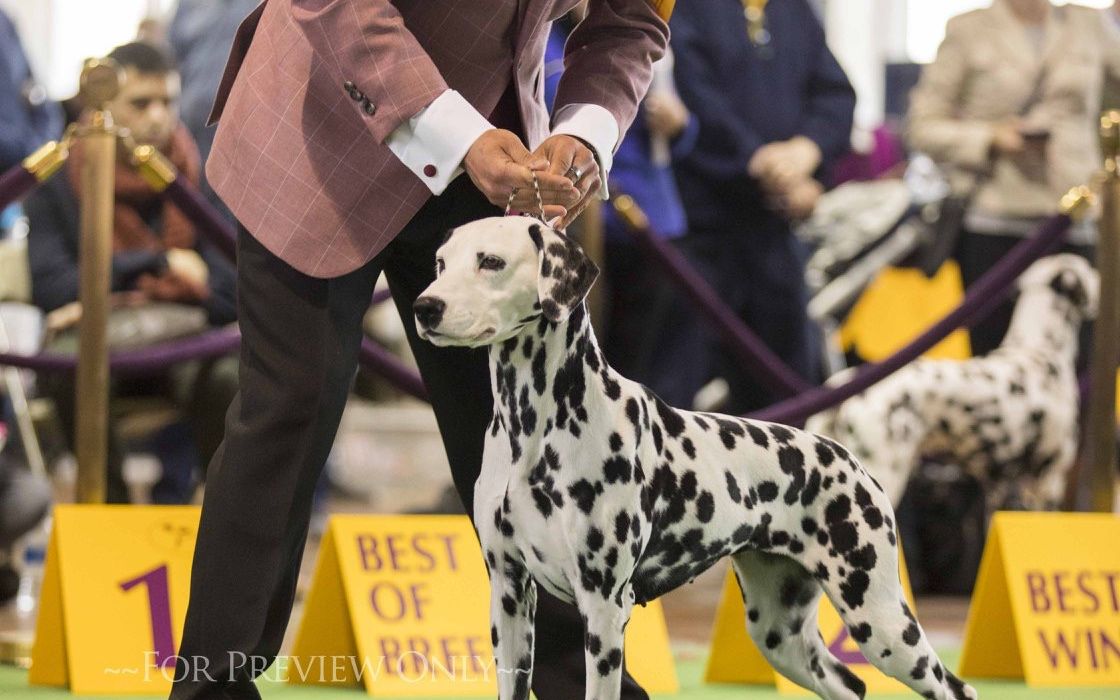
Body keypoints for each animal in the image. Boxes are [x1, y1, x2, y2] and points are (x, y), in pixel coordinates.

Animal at [412, 217, 972, 698]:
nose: (424, 307)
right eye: (439, 262)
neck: (533, 430)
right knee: (850, 685)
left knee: (954, 687)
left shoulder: (603, 608)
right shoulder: (509, 595)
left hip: (882, 622)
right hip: (780, 631)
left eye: (490, 261)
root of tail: (849, 461)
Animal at [810, 254, 1097, 510]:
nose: (1101, 278)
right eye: (1090, 268)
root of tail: (846, 382)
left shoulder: (998, 487)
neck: (1039, 352)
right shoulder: (1048, 481)